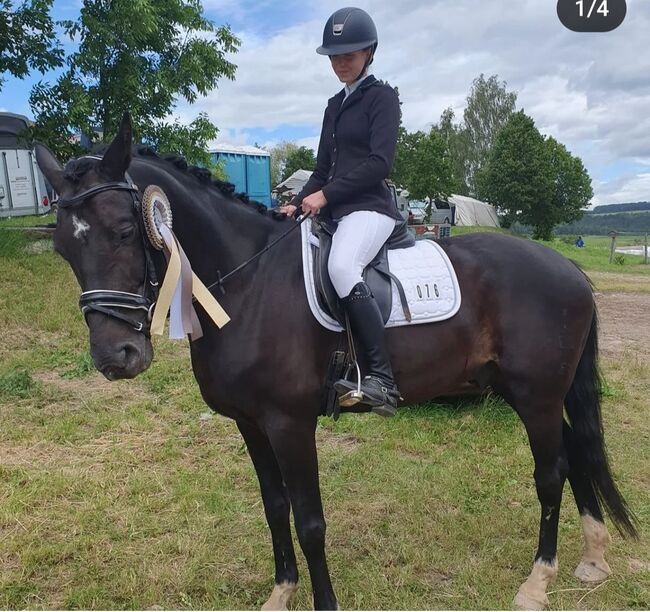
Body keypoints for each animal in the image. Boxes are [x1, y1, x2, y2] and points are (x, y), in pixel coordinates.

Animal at [34, 113, 632, 608]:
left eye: (125, 230)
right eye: (62, 247)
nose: (116, 357)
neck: (247, 285)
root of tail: (570, 271)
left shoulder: (290, 424)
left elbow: (310, 522)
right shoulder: (250, 424)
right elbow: (275, 507)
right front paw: (280, 594)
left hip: (536, 394)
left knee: (551, 473)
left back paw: (537, 582)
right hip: (520, 389)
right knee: (576, 454)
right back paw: (592, 559)